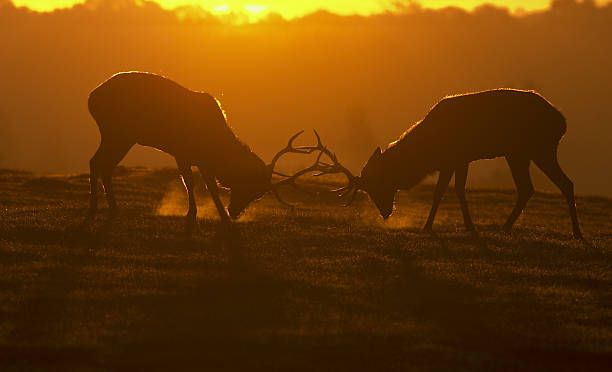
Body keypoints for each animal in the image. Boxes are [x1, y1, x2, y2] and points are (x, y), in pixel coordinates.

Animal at [87, 71, 344, 228]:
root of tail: (91, 97)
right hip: (117, 132)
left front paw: (221, 216)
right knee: (97, 162)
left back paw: (110, 206)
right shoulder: (182, 152)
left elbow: (210, 185)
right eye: (249, 187)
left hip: (119, 135)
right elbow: (189, 181)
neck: (214, 147)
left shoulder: (202, 160)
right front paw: (192, 214)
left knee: (101, 163)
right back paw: (97, 206)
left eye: (258, 195)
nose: (235, 212)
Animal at [334, 88, 584, 238]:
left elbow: (450, 191)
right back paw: (508, 228)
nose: (385, 213)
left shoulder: (457, 158)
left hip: (538, 148)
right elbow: (448, 191)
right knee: (535, 187)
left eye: (377, 184)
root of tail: (562, 121)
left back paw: (575, 232)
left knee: (556, 184)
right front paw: (454, 226)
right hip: (519, 153)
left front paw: (447, 227)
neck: (429, 151)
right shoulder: (453, 162)